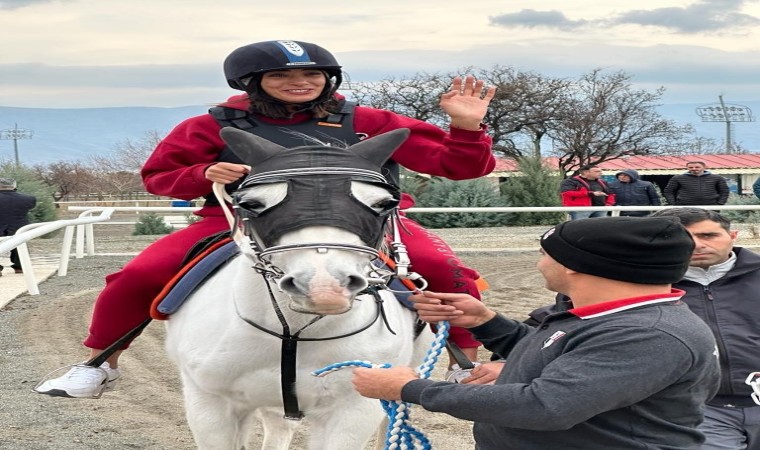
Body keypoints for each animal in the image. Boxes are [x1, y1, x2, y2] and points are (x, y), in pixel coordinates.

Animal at [163, 127, 436, 450]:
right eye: (253, 203)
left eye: (383, 203)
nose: (324, 287)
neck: (291, 333)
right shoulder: (209, 406)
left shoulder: (354, 412)